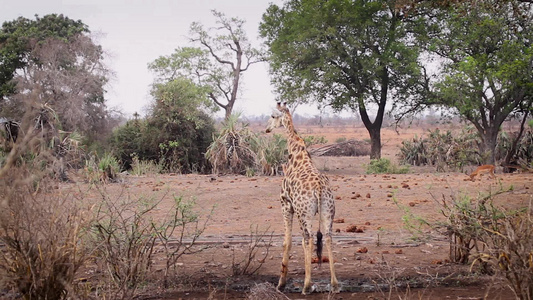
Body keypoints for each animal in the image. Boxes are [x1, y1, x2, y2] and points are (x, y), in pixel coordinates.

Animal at [264, 102, 338, 294]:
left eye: (272, 116)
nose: (266, 129)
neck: (295, 154)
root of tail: (319, 188)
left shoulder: (285, 204)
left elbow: (287, 242)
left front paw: (281, 283)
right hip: (328, 210)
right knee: (328, 237)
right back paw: (334, 284)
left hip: (303, 213)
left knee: (307, 239)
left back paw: (306, 285)